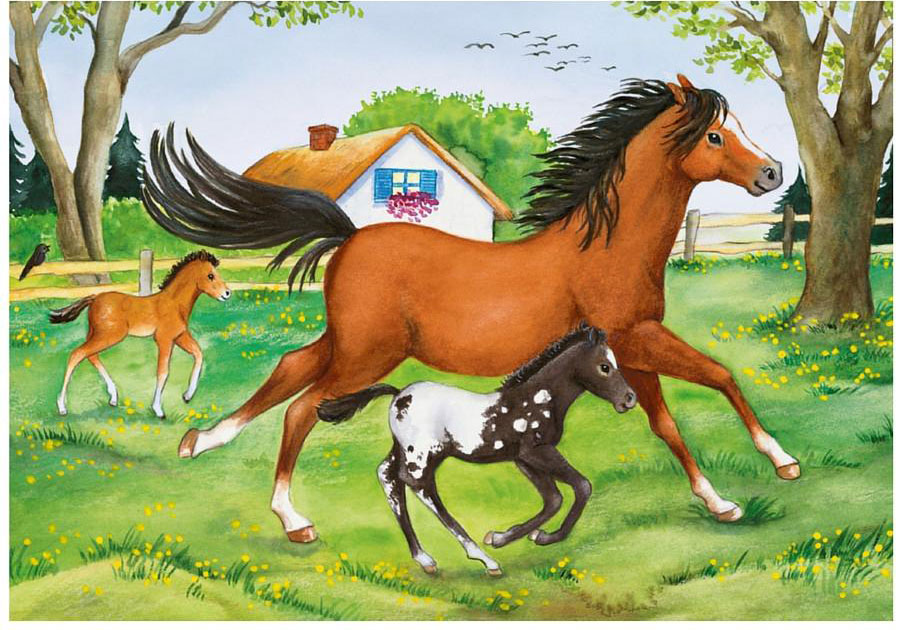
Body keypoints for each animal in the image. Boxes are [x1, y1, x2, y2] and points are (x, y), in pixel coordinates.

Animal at [49, 250, 231, 418]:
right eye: (210, 275)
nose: (227, 293)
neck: (174, 303)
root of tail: (94, 298)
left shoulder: (179, 336)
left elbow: (198, 354)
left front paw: (187, 396)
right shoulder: (164, 339)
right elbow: (163, 372)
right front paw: (158, 410)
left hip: (97, 334)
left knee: (91, 356)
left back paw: (113, 397)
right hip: (109, 335)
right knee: (77, 354)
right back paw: (62, 407)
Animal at [141, 74, 796, 545]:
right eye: (715, 136)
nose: (772, 172)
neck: (606, 246)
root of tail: (350, 236)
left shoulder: (628, 351)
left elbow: (666, 421)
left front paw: (720, 501)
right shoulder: (636, 338)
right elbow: (719, 376)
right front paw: (781, 462)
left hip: (349, 343)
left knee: (287, 370)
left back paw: (201, 442)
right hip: (367, 354)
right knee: (304, 407)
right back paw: (294, 520)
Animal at [317, 323, 636, 576]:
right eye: (604, 367)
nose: (629, 399)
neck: (536, 398)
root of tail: (398, 395)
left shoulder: (522, 459)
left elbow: (553, 499)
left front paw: (513, 536)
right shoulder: (537, 451)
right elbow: (581, 486)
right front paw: (530, 538)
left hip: (404, 451)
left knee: (388, 476)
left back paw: (425, 558)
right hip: (422, 455)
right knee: (420, 488)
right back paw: (484, 560)